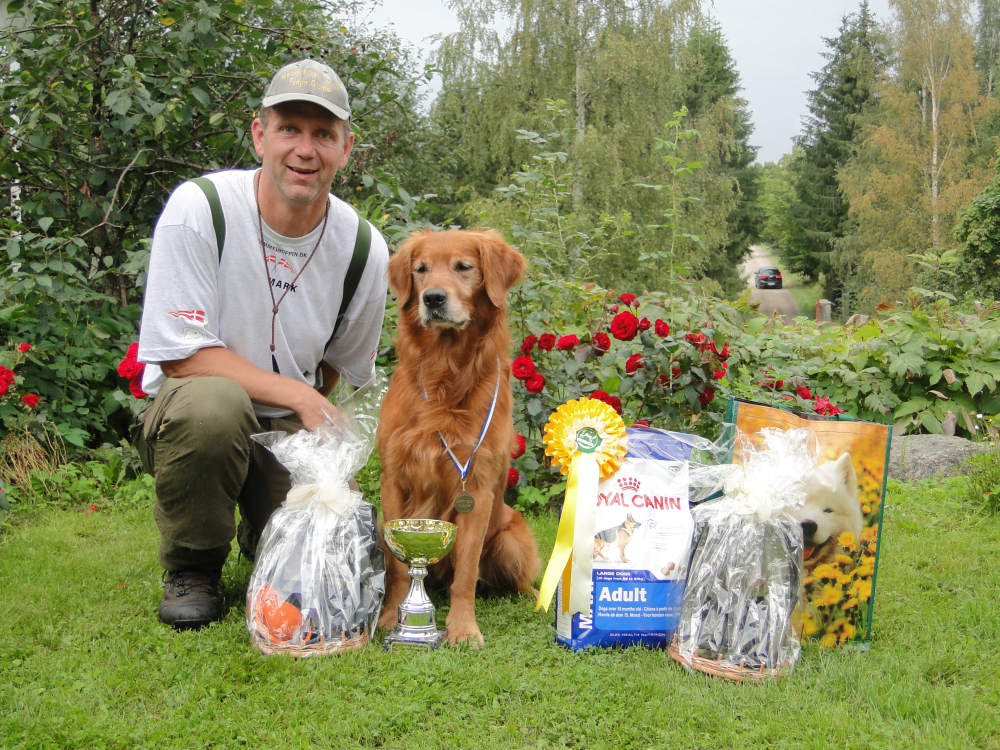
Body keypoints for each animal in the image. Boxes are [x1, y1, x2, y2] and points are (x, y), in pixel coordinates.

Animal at [378, 229, 544, 648]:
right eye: (420, 270)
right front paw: (390, 618)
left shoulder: (478, 487)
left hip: (511, 540)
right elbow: (396, 566)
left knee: (518, 581)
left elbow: (466, 569)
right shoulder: (393, 478)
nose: (433, 298)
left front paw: (464, 629)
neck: (445, 374)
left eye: (464, 266)